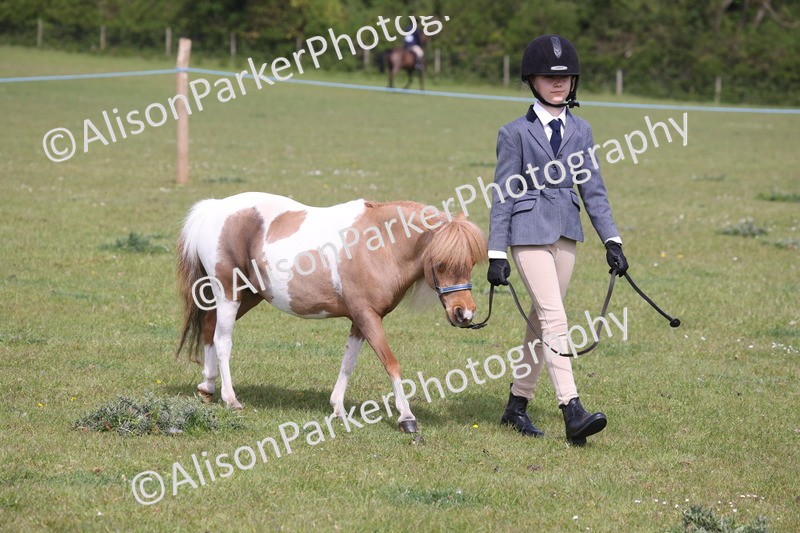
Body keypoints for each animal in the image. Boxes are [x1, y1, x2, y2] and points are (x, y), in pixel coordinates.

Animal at [176, 192, 487, 433]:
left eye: (471, 262)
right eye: (442, 263)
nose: (464, 313)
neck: (380, 245)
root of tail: (213, 208)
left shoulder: (361, 320)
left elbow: (348, 362)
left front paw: (338, 408)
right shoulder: (367, 317)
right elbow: (391, 364)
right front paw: (406, 417)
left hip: (247, 297)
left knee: (208, 327)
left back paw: (207, 387)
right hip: (229, 294)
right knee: (223, 341)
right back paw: (230, 399)